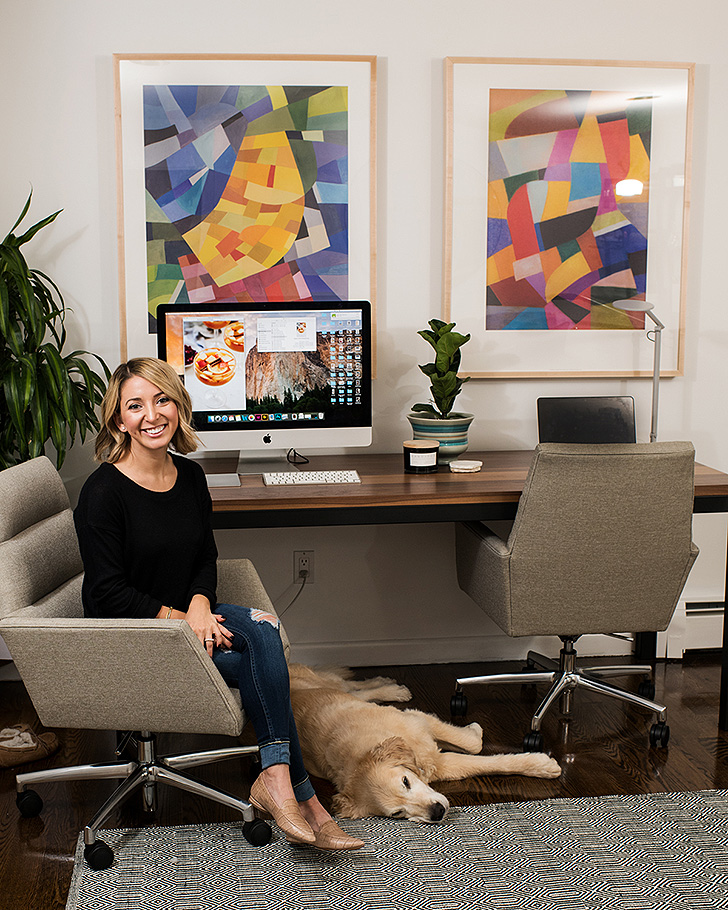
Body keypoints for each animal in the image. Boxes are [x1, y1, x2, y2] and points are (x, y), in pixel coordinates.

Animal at [288, 668, 560, 824]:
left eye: (406, 781)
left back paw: (390, 685)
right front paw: (541, 765)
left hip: (330, 685)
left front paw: (543, 765)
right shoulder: (440, 763)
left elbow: (472, 743)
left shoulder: (418, 720)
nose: (437, 812)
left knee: (354, 687)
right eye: (397, 813)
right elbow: (476, 758)